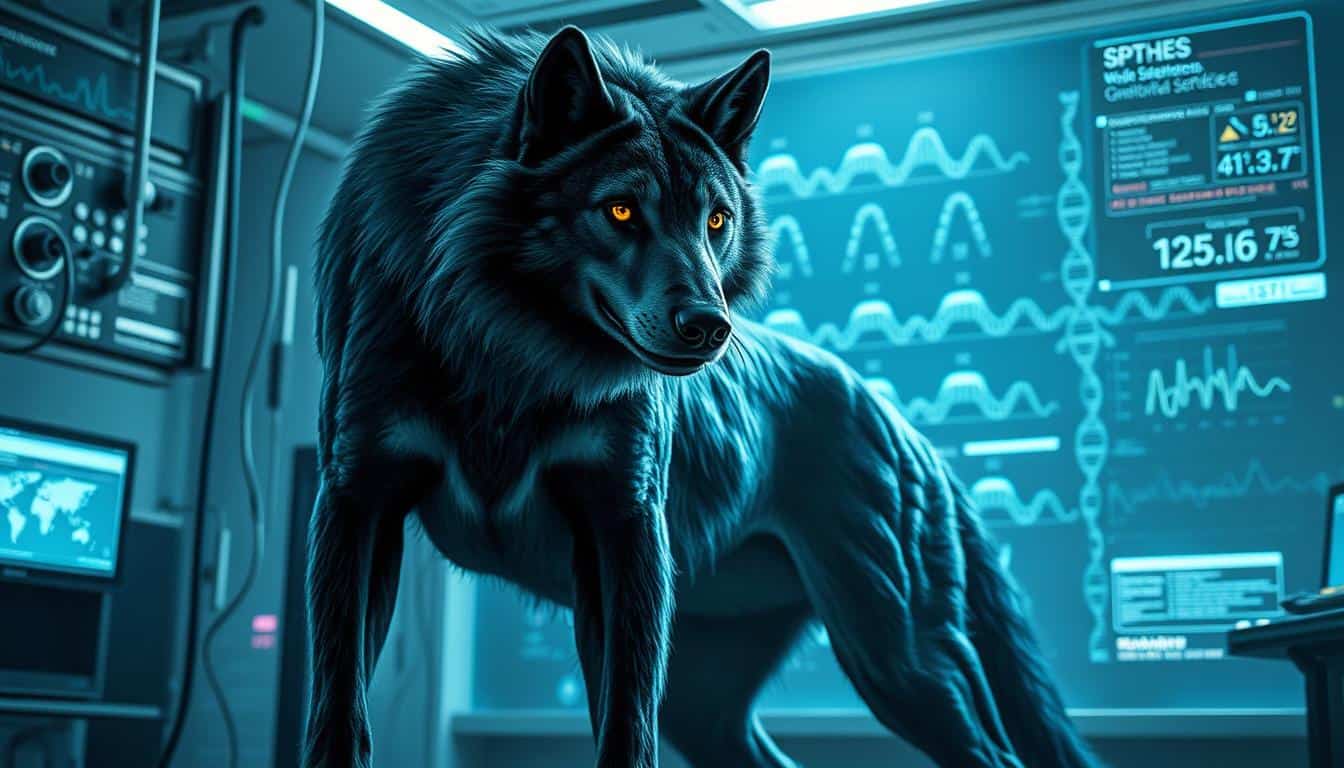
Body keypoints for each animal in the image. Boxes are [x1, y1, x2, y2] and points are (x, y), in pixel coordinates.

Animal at [307, 24, 1098, 768]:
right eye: (621, 211)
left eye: (716, 220)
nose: (710, 326)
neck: (510, 357)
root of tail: (908, 427)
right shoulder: (360, 500)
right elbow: (338, 705)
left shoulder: (624, 522)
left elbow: (627, 728)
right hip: (714, 695)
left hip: (897, 653)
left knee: (995, 752)